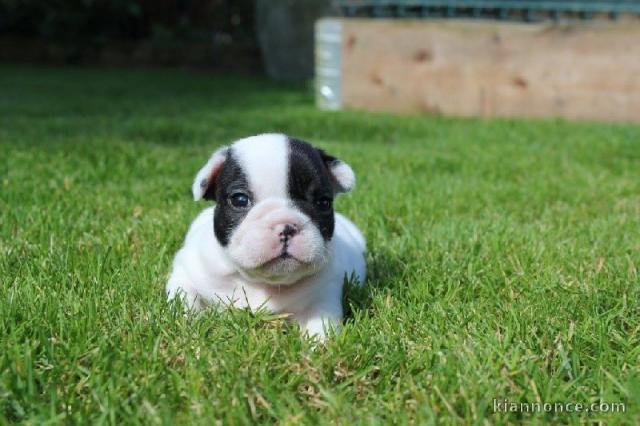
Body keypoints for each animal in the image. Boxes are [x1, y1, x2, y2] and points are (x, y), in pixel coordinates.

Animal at [166, 133, 364, 340]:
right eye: (239, 199)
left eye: (323, 202)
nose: (286, 227)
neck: (262, 282)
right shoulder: (186, 272)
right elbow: (184, 297)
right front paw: (189, 325)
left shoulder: (324, 292)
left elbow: (321, 320)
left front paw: (319, 343)